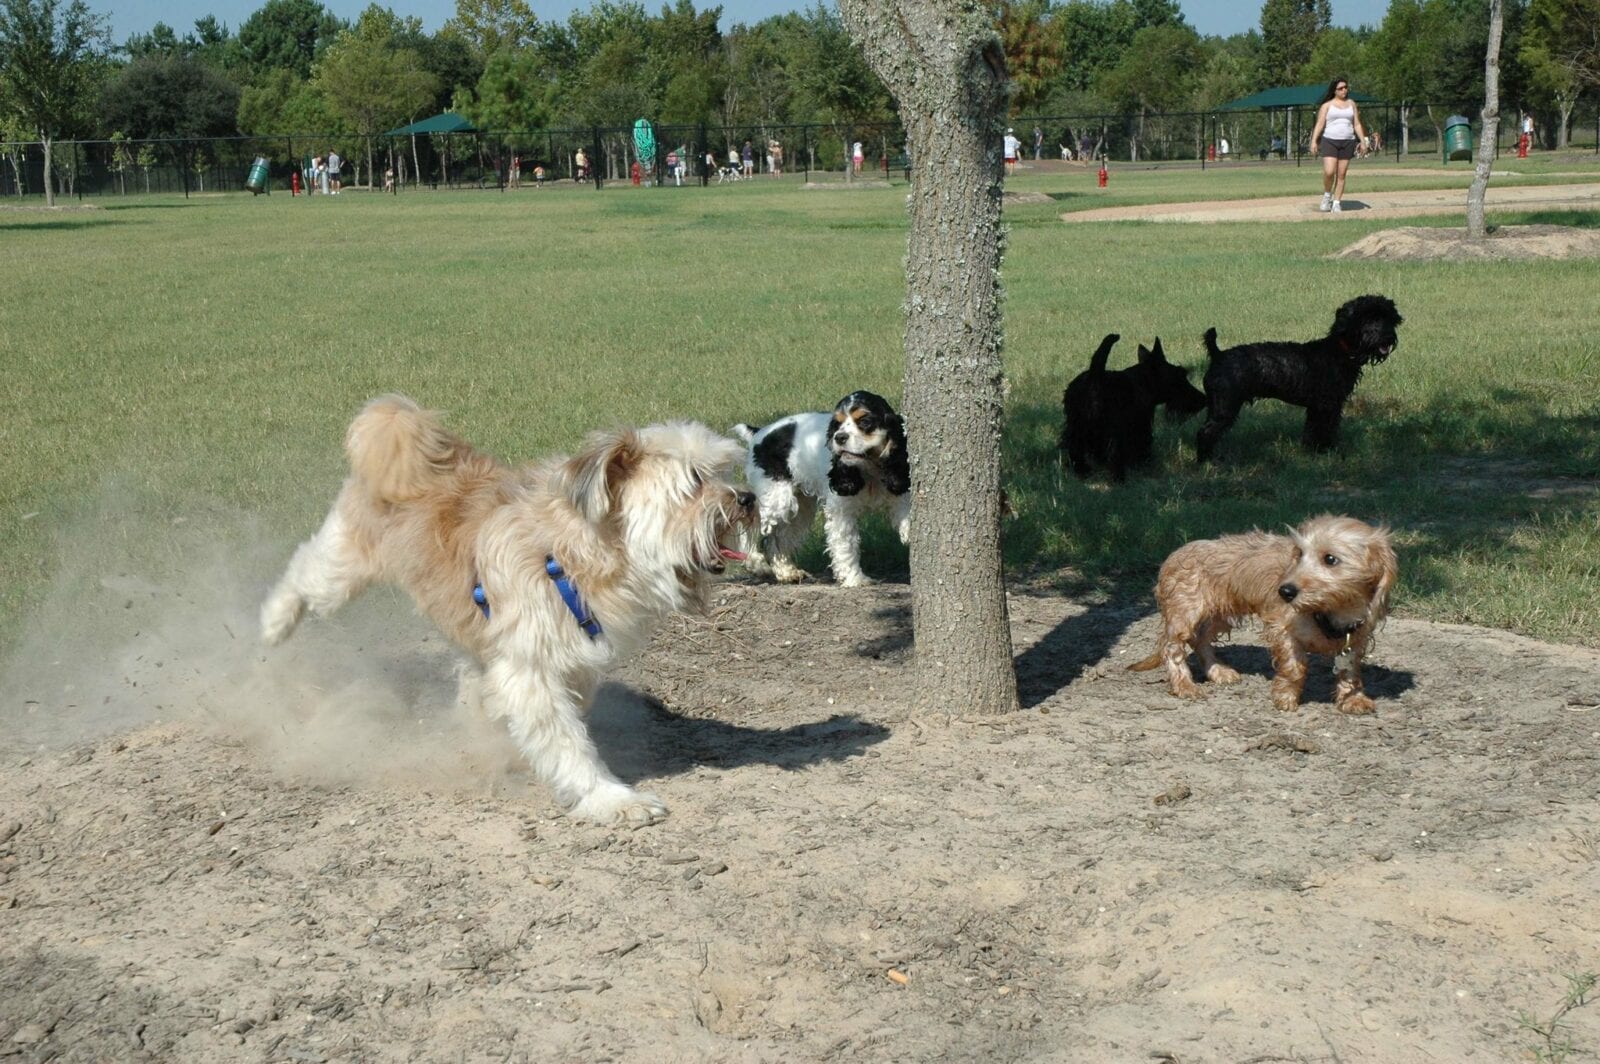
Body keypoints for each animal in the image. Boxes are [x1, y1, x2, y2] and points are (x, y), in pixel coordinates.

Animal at [260, 396, 755, 819]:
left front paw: (485, 713)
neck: (571, 554)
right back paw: (274, 624)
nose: (747, 497)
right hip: (344, 568)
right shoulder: (531, 668)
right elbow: (566, 741)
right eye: (695, 481)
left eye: (723, 471)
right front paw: (610, 798)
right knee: (304, 571)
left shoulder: (566, 659)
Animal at [1062, 334, 1203, 480]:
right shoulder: (1141, 425)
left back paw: (1081, 469)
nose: (1202, 399)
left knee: (1074, 447)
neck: (1144, 382)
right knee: (1113, 454)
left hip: (1076, 426)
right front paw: (1145, 461)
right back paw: (1118, 477)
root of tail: (1095, 376)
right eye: (1180, 376)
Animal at [1126, 515, 1401, 713]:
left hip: (1221, 614)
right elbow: (1294, 668)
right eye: (1299, 554)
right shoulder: (1282, 629)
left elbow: (1350, 670)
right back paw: (1184, 685)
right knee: (1172, 648)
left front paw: (1352, 699)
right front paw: (1285, 697)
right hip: (1186, 611)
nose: (1285, 591)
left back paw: (1218, 671)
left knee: (1200, 640)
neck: (1330, 611)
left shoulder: (1355, 639)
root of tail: (1173, 556)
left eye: (1330, 559)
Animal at [1196, 292, 1408, 457]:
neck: (1338, 350)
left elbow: (1313, 429)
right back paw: (1207, 461)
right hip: (1225, 408)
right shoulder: (1327, 405)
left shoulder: (1318, 407)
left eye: (1388, 318)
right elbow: (1325, 428)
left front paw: (1312, 450)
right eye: (1368, 318)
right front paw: (1326, 450)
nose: (1388, 337)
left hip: (1216, 407)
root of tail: (1219, 354)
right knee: (1205, 432)